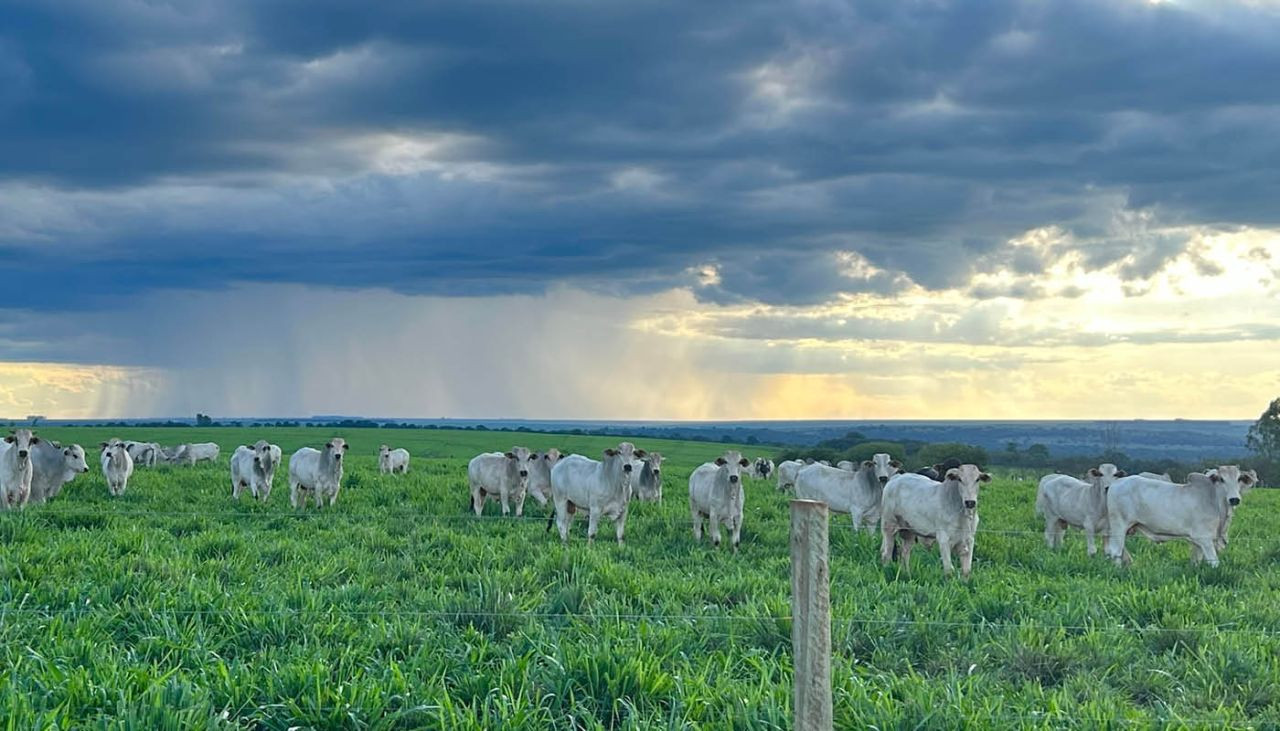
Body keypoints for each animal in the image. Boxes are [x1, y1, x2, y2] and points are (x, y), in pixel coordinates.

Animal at [1100, 465, 1249, 568]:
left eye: (1239, 479)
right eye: (1221, 479)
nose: (1234, 499)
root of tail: (1114, 484)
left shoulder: (1198, 543)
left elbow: (1196, 560)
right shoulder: (1204, 538)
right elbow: (1214, 562)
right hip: (1119, 526)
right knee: (1116, 551)